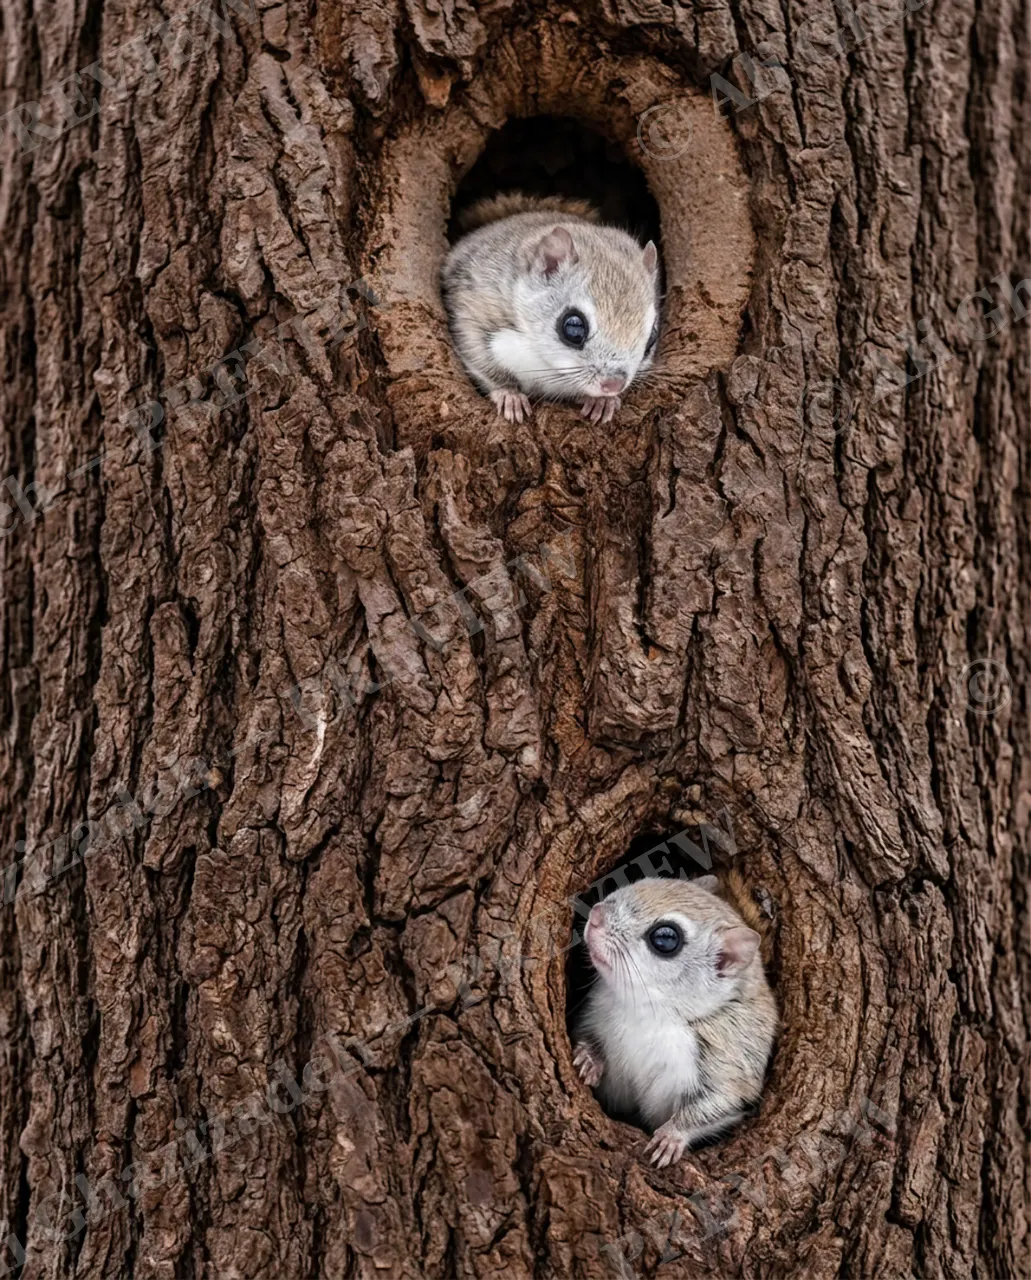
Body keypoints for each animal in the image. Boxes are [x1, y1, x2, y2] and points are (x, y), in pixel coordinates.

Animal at [440, 193, 661, 425]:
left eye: (652, 337)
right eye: (573, 327)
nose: (613, 385)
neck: (545, 360)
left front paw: (603, 402)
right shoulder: (476, 309)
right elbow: (481, 361)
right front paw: (509, 396)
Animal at [572, 871, 778, 1168]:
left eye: (666, 938)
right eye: (644, 880)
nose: (597, 915)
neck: (649, 1009)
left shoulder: (730, 1063)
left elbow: (715, 1105)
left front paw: (671, 1136)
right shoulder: (593, 1014)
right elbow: (585, 1035)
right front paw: (589, 1058)